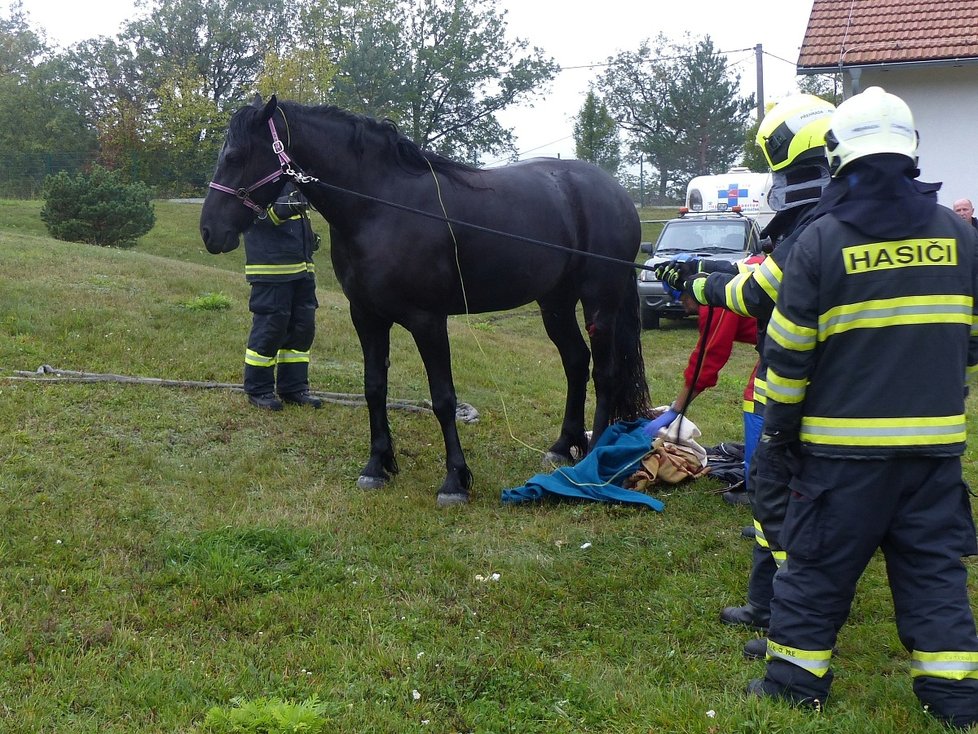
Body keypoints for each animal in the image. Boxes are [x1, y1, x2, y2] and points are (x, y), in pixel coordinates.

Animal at [198, 95, 648, 508]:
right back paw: (562, 446)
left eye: (234, 156)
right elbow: (374, 388)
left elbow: (443, 399)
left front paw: (455, 481)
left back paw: (594, 458)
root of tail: (613, 190)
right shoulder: (367, 317)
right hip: (554, 303)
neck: (380, 206)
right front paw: (377, 466)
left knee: (604, 373)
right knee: (575, 362)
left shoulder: (428, 321)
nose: (209, 232)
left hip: (599, 303)